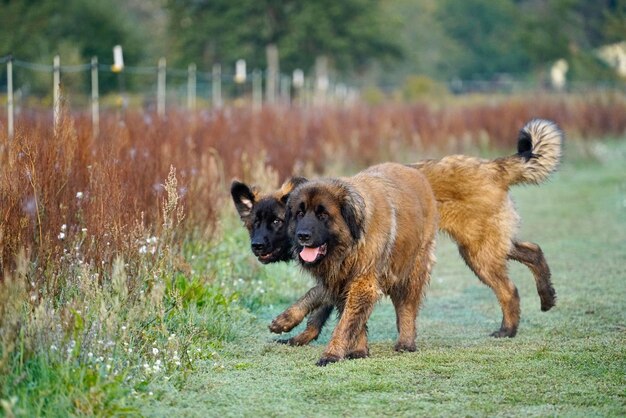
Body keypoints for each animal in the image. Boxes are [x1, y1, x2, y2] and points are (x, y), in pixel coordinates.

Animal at [268, 118, 560, 342]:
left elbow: (320, 299)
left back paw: (508, 329)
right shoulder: (338, 272)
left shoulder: (361, 271)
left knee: (509, 289)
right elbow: (318, 300)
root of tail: (492, 167)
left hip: (479, 252)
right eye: (298, 214)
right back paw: (546, 297)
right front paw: (297, 331)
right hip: (484, 246)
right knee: (533, 250)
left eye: (322, 214)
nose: (302, 237)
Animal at [286, 163, 436, 366]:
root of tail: (415, 171)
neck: (349, 247)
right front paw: (359, 350)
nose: (302, 235)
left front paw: (332, 354)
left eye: (323, 214)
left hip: (411, 269)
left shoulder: (363, 282)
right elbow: (354, 320)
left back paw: (406, 342)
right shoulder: (341, 283)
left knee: (406, 306)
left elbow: (345, 323)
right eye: (300, 213)